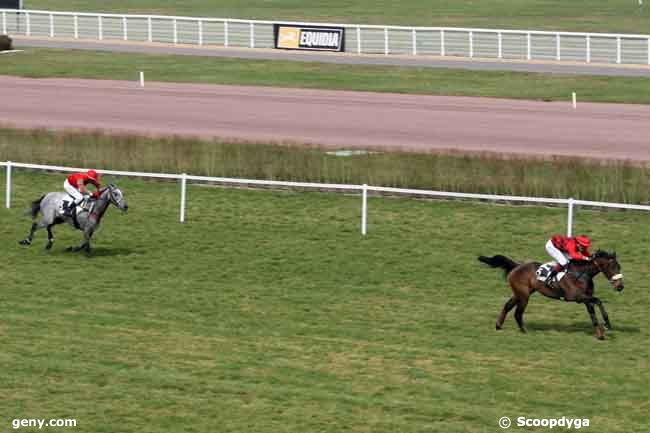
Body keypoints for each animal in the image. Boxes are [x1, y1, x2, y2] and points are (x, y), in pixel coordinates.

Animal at [478, 251, 620, 340]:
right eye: (613, 267)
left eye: (619, 267)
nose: (621, 286)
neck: (582, 273)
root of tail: (517, 266)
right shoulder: (577, 297)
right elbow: (599, 301)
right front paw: (607, 324)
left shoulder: (586, 299)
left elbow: (593, 315)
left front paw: (600, 334)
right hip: (523, 296)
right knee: (518, 313)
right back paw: (524, 330)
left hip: (520, 293)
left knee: (507, 306)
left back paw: (498, 326)